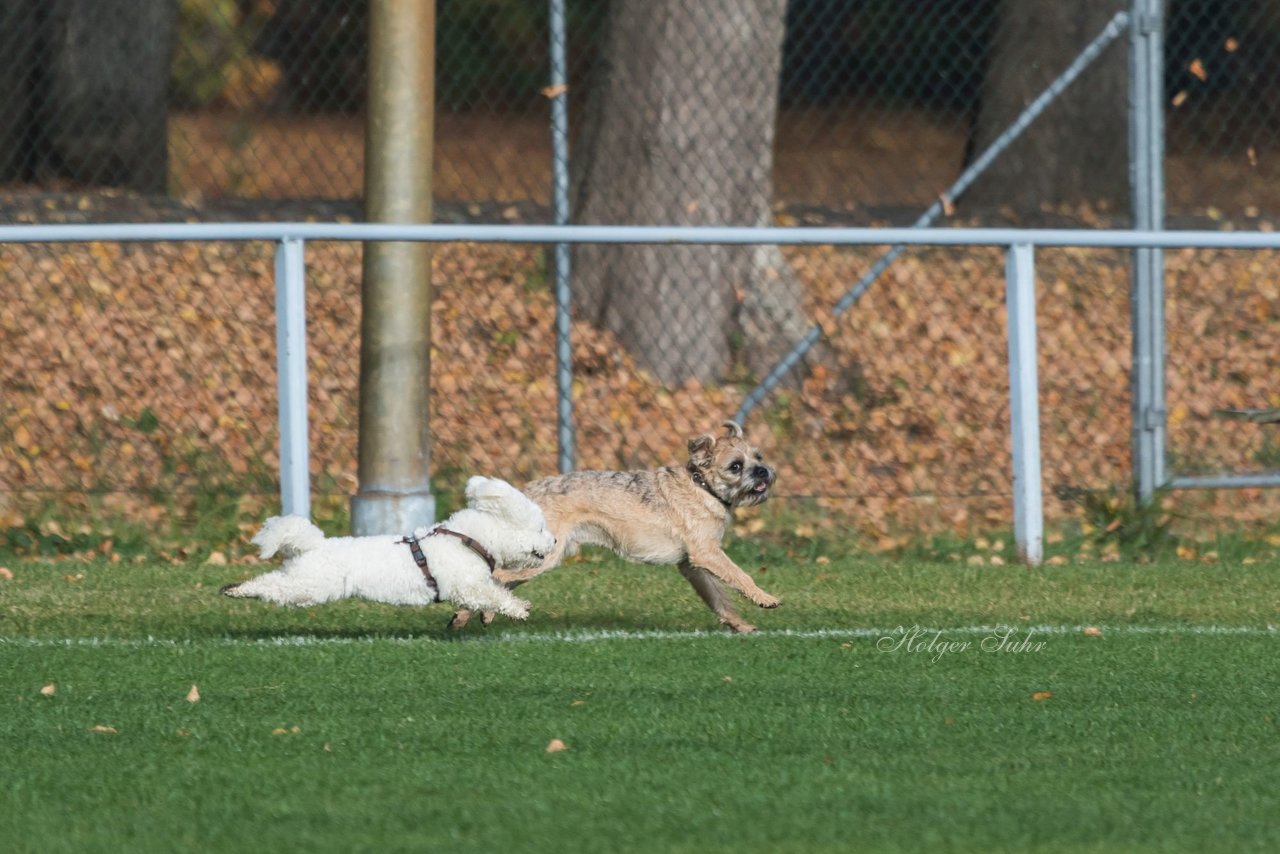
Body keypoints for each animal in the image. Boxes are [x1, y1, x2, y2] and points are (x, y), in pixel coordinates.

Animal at [222, 473, 552, 622]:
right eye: (539, 528)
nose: (554, 541)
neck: (468, 539)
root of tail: (314, 545)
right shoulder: (464, 587)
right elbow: (493, 594)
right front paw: (517, 609)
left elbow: (495, 590)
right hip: (309, 586)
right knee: (272, 587)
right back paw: (238, 590)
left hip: (302, 580)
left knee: (273, 581)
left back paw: (234, 588)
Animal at [450, 419, 778, 635]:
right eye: (736, 466)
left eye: (758, 456)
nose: (764, 471)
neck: (702, 487)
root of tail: (525, 495)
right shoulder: (707, 553)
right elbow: (740, 576)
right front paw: (765, 598)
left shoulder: (693, 565)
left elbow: (719, 598)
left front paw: (741, 625)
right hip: (543, 557)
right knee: (496, 576)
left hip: (536, 558)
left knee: (500, 579)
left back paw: (474, 617)